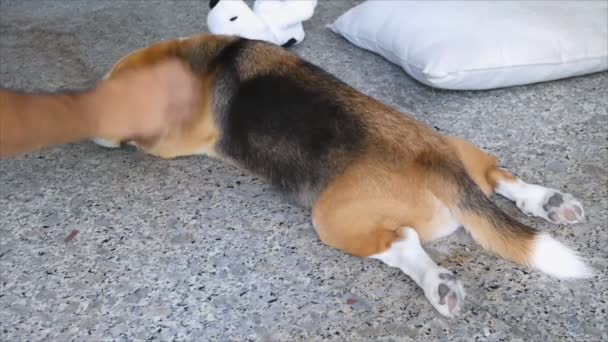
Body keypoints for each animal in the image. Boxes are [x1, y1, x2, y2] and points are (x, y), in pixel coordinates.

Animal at [92, 34, 592, 318]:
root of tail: (432, 159)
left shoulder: (174, 141)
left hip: (331, 218)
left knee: (402, 243)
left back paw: (438, 283)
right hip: (459, 146)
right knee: (498, 178)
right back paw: (549, 201)